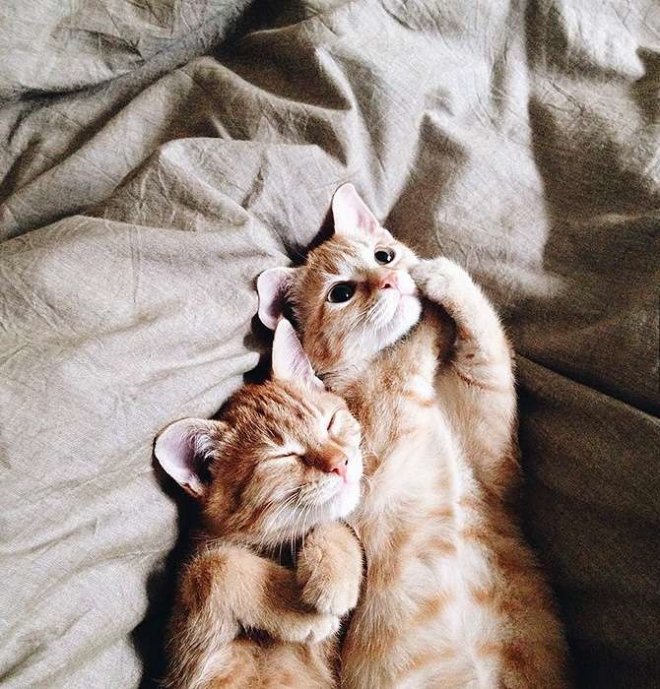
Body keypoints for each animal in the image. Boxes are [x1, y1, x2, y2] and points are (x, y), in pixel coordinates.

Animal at [154, 318, 364, 689]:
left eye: (330, 423)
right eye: (284, 456)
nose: (341, 463)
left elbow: (336, 523)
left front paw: (333, 571)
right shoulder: (187, 659)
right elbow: (211, 566)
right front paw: (299, 609)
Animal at [257, 184, 569, 688]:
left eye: (383, 255)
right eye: (341, 292)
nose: (390, 279)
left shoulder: (493, 448)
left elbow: (488, 347)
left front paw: (438, 285)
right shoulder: (372, 448)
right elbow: (407, 361)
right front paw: (429, 314)